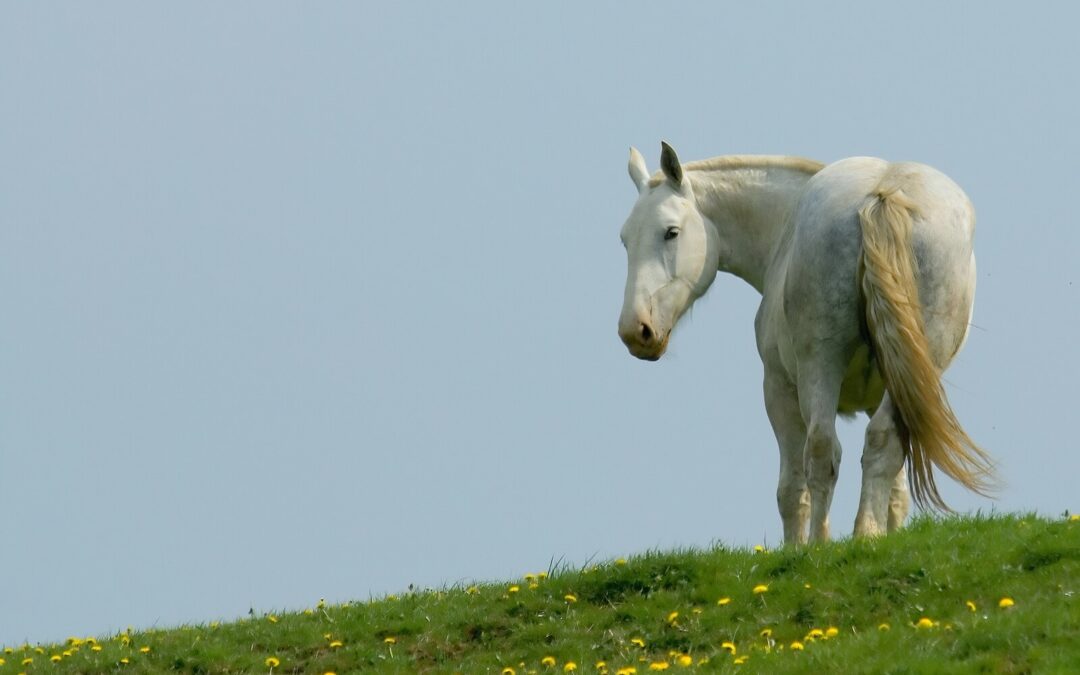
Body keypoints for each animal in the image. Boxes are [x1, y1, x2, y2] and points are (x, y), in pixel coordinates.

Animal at [617, 142, 996, 543]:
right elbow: (895, 489)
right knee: (880, 443)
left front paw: (796, 548)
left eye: (670, 232)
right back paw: (866, 535)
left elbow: (791, 489)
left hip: (819, 365)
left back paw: (819, 544)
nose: (635, 330)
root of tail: (884, 193)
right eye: (625, 239)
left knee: (822, 450)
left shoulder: (778, 389)